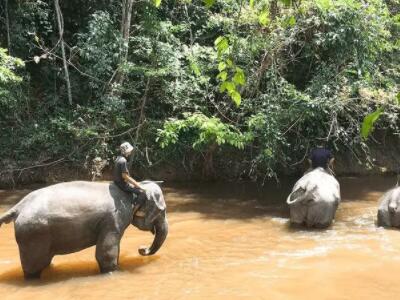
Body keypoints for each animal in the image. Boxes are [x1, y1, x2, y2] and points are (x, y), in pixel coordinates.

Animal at [0, 179, 167, 280]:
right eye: (163, 211)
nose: (142, 249)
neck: (134, 189)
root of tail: (18, 207)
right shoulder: (113, 220)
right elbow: (105, 252)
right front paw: (111, 272)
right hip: (33, 235)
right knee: (33, 268)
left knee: (45, 261)